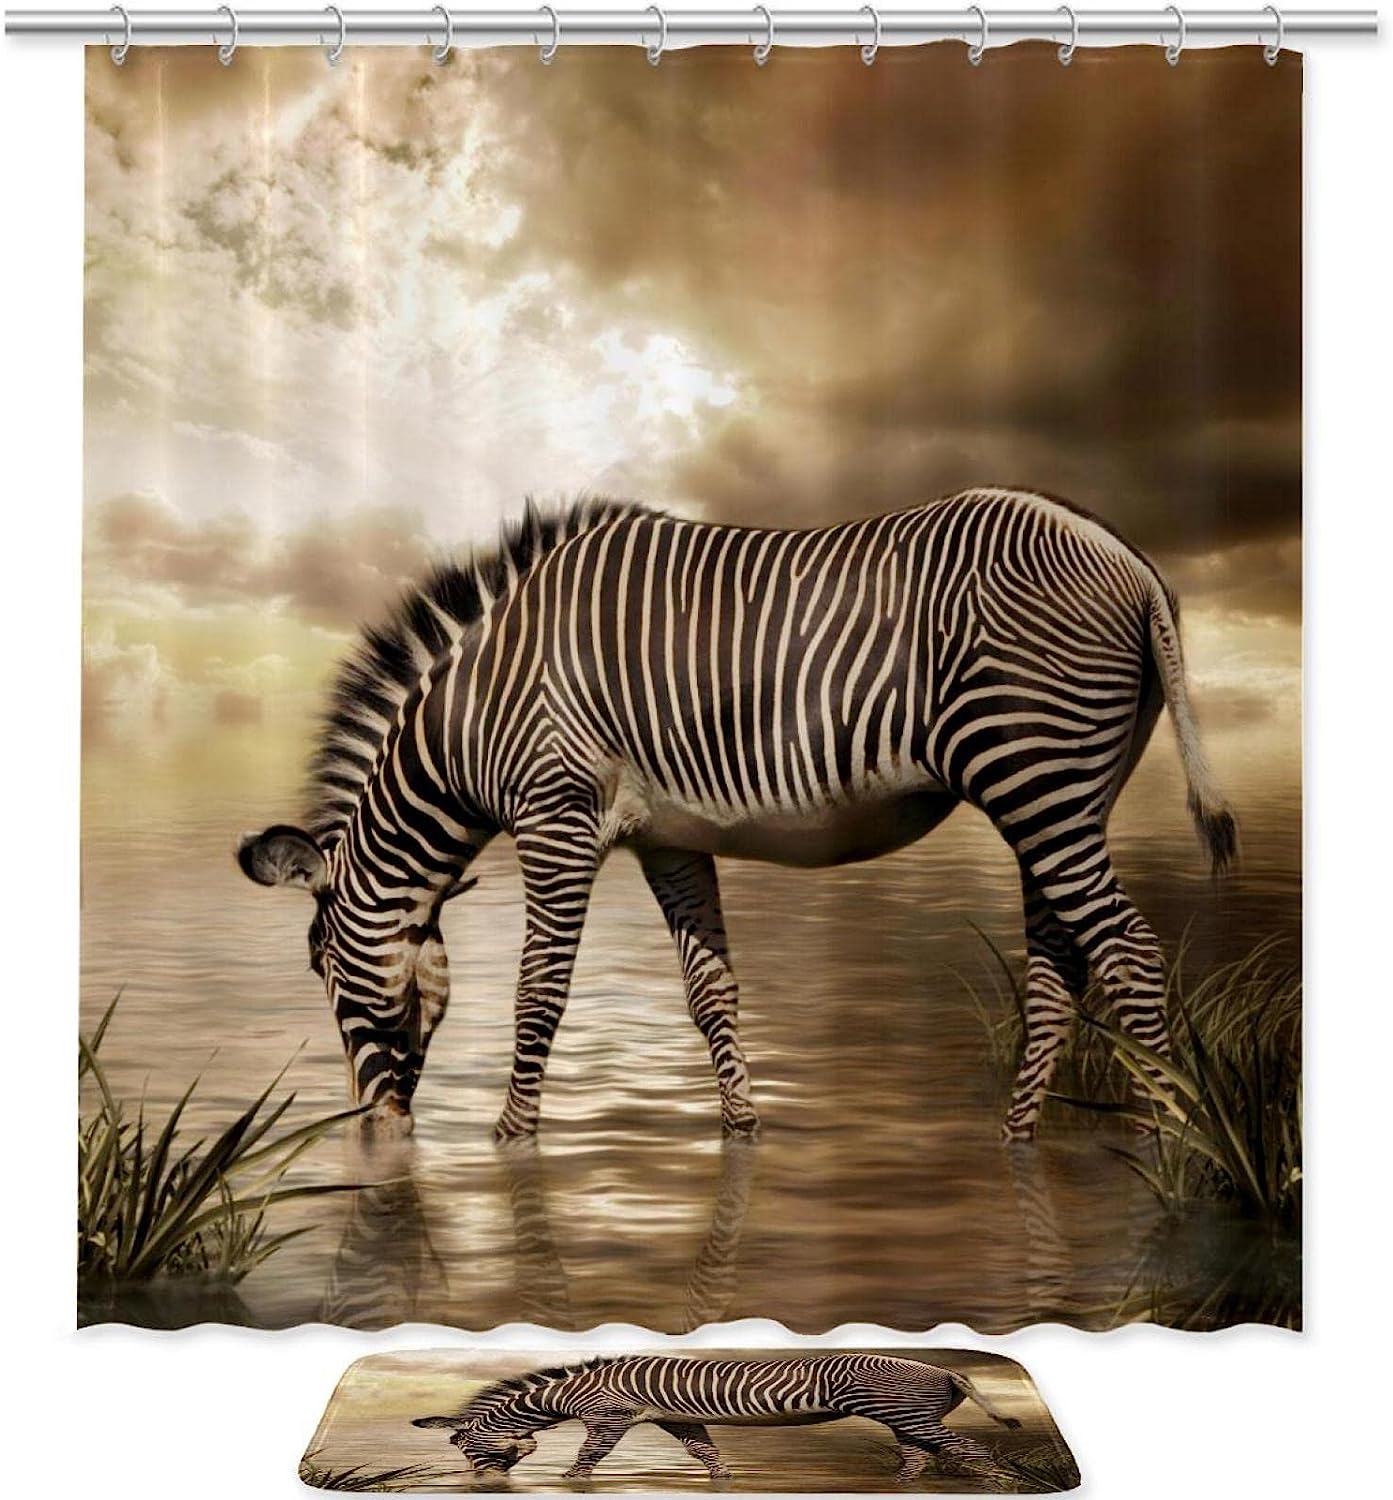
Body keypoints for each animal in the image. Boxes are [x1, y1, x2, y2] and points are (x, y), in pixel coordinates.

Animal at [237, 487, 1235, 1143]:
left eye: (320, 965)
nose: (376, 1131)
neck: (473, 720)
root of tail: (1127, 555)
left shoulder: (555, 818)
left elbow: (539, 992)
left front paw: (510, 1140)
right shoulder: (667, 838)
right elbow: (709, 990)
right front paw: (741, 1125)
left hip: (1033, 771)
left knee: (1126, 954)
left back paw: (1173, 1136)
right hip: (1057, 792)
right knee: (1059, 962)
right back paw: (1019, 1141)